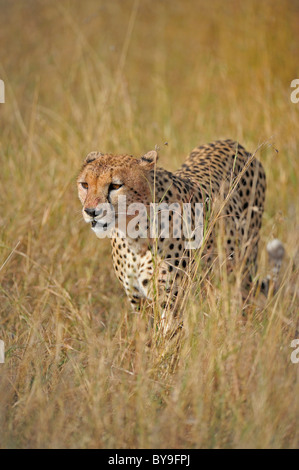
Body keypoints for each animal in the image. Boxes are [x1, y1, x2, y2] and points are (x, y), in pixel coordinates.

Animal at [78, 138, 268, 324]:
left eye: (115, 185)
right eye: (85, 185)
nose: (91, 211)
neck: (134, 236)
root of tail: (232, 142)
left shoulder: (171, 301)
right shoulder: (138, 300)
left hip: (241, 269)